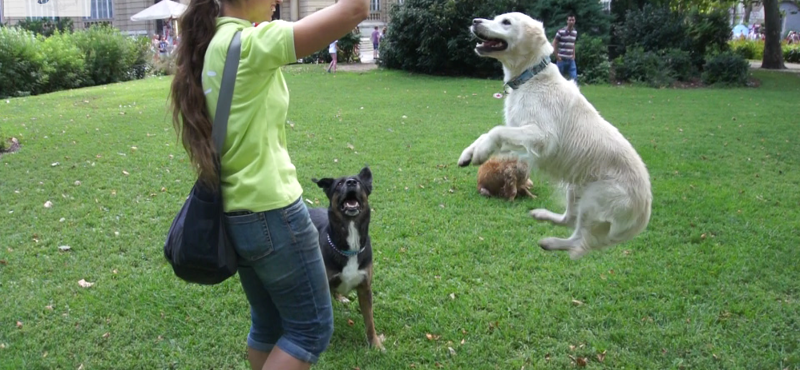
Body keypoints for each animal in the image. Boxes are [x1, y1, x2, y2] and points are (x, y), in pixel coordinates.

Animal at [308, 165, 382, 350]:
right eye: (339, 184)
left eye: (359, 182)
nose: (351, 182)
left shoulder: (365, 288)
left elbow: (370, 321)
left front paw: (375, 344)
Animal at [460, 12, 652, 260]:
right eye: (496, 18)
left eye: (506, 22)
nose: (475, 21)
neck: (530, 77)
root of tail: (646, 209)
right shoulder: (520, 135)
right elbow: (490, 134)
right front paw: (469, 152)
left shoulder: (542, 136)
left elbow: (496, 130)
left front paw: (480, 152)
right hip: (576, 188)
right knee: (569, 220)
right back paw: (542, 216)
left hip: (595, 198)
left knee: (579, 242)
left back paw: (550, 243)